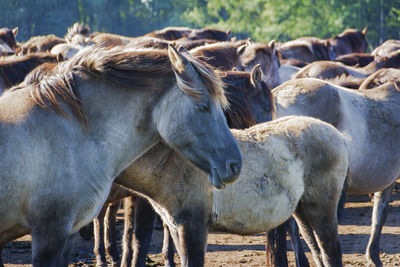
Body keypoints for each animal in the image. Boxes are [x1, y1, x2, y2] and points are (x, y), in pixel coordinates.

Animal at [114, 116, 348, 267]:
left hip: (321, 209)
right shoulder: (175, 226)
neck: (171, 161)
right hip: (302, 211)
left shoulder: (193, 225)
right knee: (318, 252)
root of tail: (338, 135)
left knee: (331, 252)